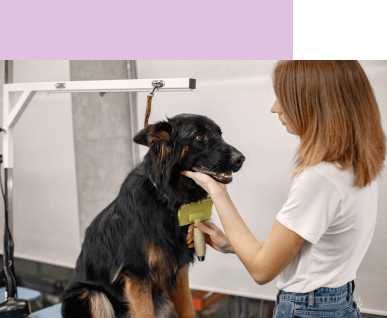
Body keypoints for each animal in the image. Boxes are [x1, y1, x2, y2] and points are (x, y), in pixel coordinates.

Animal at [61, 113, 244, 316]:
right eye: (200, 136)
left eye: (220, 134)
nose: (241, 159)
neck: (167, 199)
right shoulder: (137, 276)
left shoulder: (179, 271)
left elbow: (188, 309)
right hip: (91, 294)